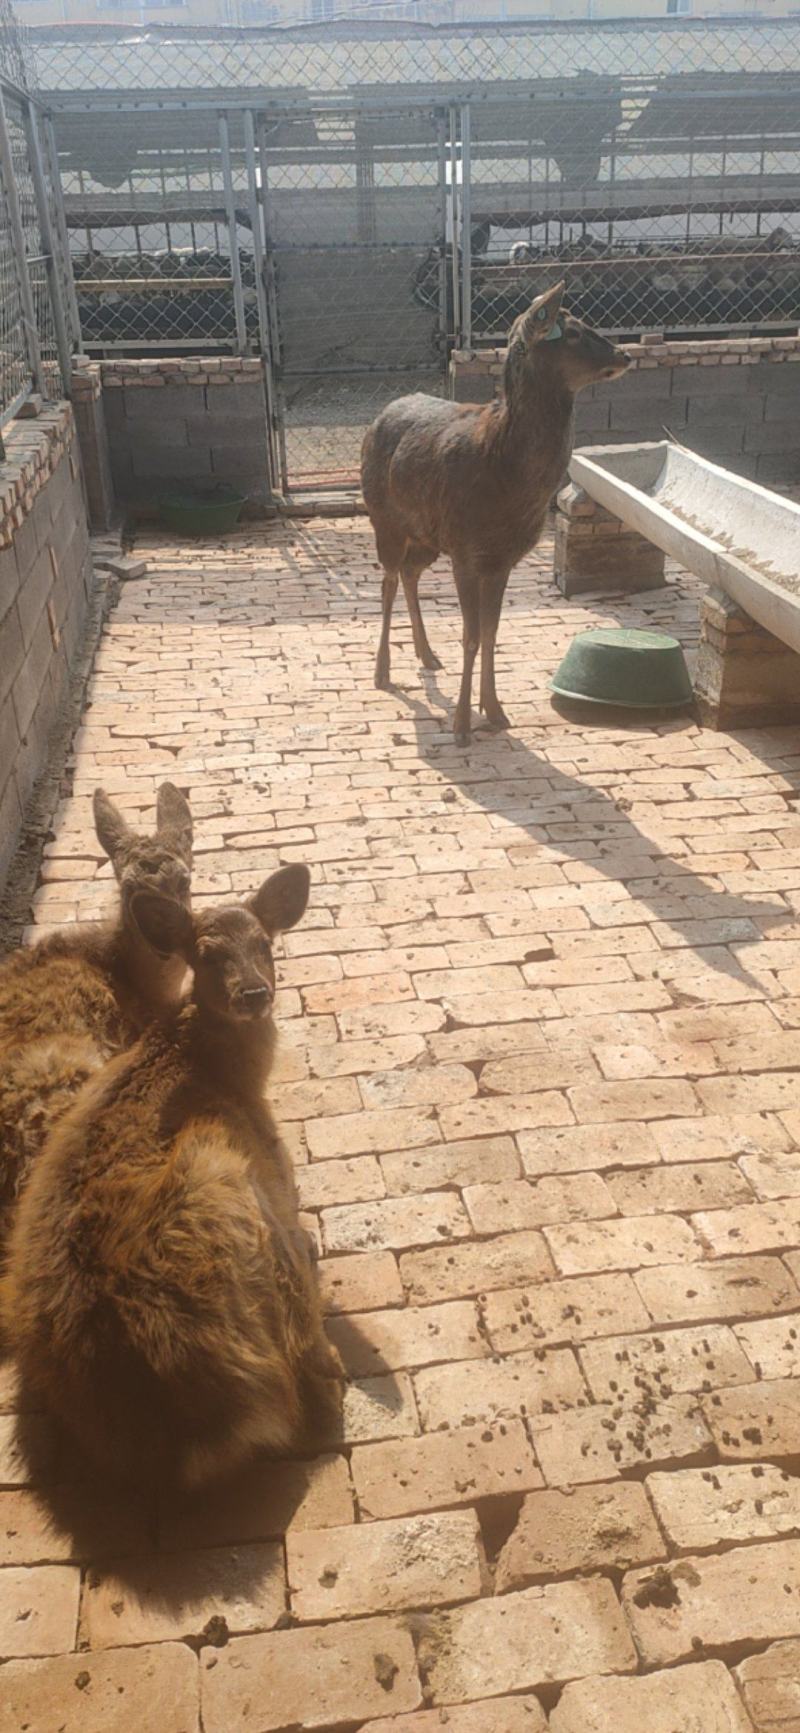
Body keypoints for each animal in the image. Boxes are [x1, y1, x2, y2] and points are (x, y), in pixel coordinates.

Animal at [2, 864, 344, 1491]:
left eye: (265, 944)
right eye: (205, 955)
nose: (254, 993)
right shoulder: (274, 1166)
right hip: (228, 1181)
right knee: (309, 1361)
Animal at [361, 282, 630, 746]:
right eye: (573, 332)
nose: (624, 354)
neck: (505, 475)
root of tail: (377, 418)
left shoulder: (501, 558)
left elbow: (491, 633)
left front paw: (496, 711)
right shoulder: (467, 551)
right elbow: (470, 636)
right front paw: (462, 727)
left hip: (428, 536)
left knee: (411, 575)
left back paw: (427, 655)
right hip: (385, 521)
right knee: (388, 582)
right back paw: (382, 672)